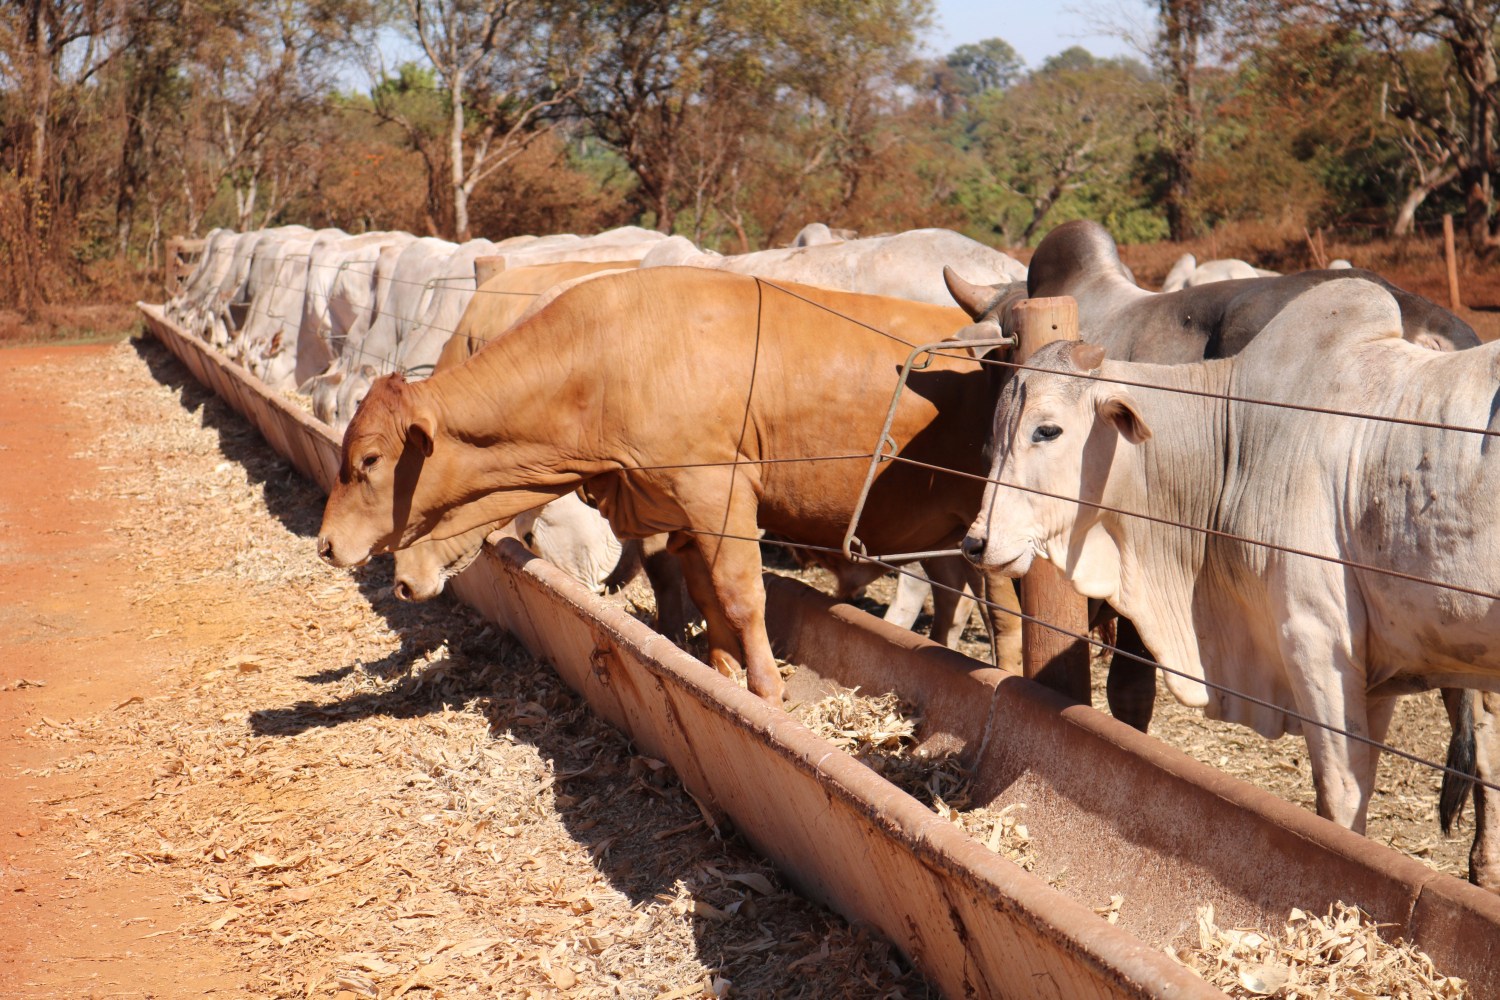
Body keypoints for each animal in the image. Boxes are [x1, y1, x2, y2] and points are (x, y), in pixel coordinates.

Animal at [312, 265, 1026, 704]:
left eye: (369, 459)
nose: (325, 545)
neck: (602, 362)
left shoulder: (720, 495)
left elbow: (741, 596)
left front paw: (768, 691)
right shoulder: (677, 514)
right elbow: (703, 594)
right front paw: (720, 671)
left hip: (991, 532)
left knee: (1005, 614)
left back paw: (1007, 675)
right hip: (947, 531)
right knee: (953, 598)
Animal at [954, 277, 1494, 887]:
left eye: (1047, 430)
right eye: (994, 434)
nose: (976, 542)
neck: (1238, 435)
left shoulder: (1318, 641)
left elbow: (1340, 799)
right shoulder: (1374, 672)